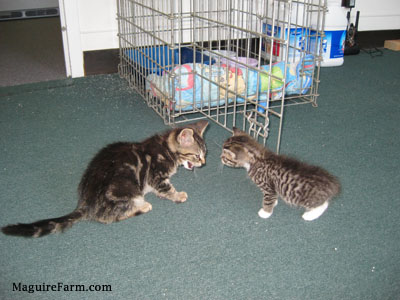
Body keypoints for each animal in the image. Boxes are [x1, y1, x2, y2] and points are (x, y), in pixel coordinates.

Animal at [1, 119, 209, 237]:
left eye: (205, 154)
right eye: (196, 155)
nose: (204, 163)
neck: (166, 149)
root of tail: (85, 203)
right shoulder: (156, 175)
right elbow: (166, 188)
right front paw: (178, 195)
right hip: (126, 189)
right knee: (107, 217)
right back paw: (142, 206)